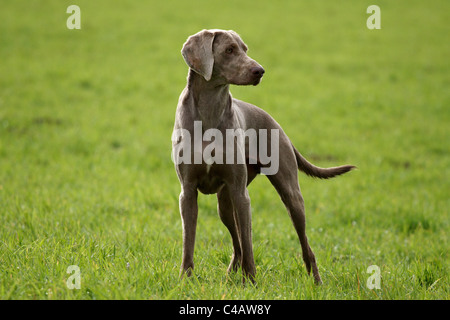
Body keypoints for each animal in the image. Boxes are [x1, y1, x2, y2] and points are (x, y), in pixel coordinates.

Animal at [172, 29, 356, 284]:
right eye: (229, 50)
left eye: (245, 49)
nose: (259, 71)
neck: (209, 110)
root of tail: (276, 123)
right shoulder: (188, 192)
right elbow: (188, 241)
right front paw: (186, 278)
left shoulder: (241, 194)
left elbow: (249, 242)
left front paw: (250, 280)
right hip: (224, 203)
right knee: (236, 243)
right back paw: (231, 274)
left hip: (290, 196)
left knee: (304, 246)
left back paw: (316, 282)